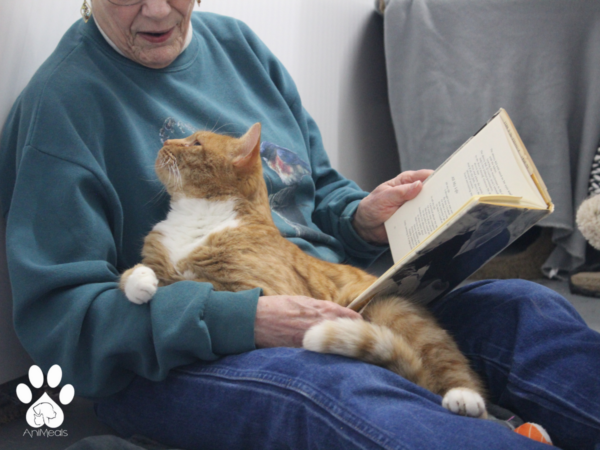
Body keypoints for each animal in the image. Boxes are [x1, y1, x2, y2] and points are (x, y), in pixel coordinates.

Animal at [120, 122, 488, 418]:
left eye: (195, 143)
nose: (165, 142)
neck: (194, 216)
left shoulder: (258, 289)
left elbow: (194, 287)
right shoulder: (159, 258)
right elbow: (138, 274)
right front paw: (140, 282)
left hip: (390, 307)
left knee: (452, 365)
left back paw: (464, 398)